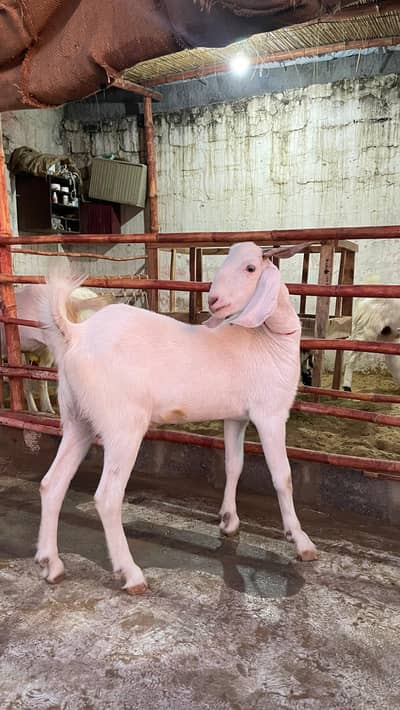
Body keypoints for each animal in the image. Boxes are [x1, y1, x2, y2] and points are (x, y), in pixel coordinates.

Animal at [36, 242, 317, 594]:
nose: (214, 300)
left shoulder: (235, 416)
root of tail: (75, 334)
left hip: (78, 419)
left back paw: (51, 564)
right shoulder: (271, 413)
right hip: (122, 424)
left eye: (250, 267)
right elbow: (283, 477)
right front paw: (301, 541)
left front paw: (229, 521)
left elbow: (234, 465)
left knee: (52, 484)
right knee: (107, 497)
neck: (266, 339)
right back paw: (131, 574)